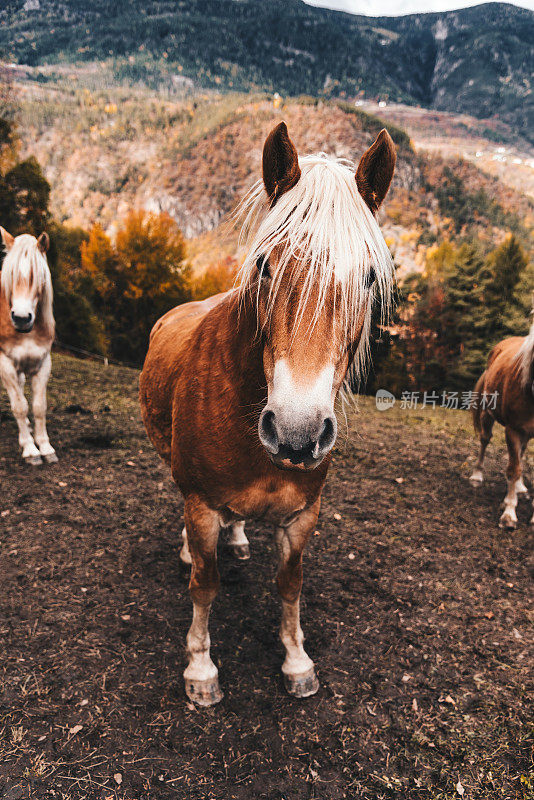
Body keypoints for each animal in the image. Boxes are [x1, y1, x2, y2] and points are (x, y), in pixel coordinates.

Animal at [139, 120, 398, 708]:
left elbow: (291, 584)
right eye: (264, 265)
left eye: (369, 277)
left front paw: (297, 661)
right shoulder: (201, 504)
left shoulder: (303, 515)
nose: (298, 434)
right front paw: (201, 669)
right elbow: (205, 585)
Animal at [472, 322, 532, 528]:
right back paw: (476, 476)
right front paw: (509, 513)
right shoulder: (512, 430)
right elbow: (513, 469)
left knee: (521, 453)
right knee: (484, 440)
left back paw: (521, 487)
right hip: (488, 413)